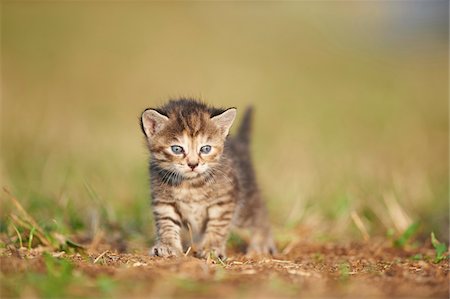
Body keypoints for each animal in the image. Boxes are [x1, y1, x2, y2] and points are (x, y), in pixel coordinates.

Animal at [141, 99, 276, 258]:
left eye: (205, 149)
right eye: (177, 149)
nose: (193, 164)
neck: (190, 184)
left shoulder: (224, 200)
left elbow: (217, 225)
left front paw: (211, 248)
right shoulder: (163, 200)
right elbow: (166, 223)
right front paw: (167, 246)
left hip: (245, 202)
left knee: (260, 213)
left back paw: (262, 243)